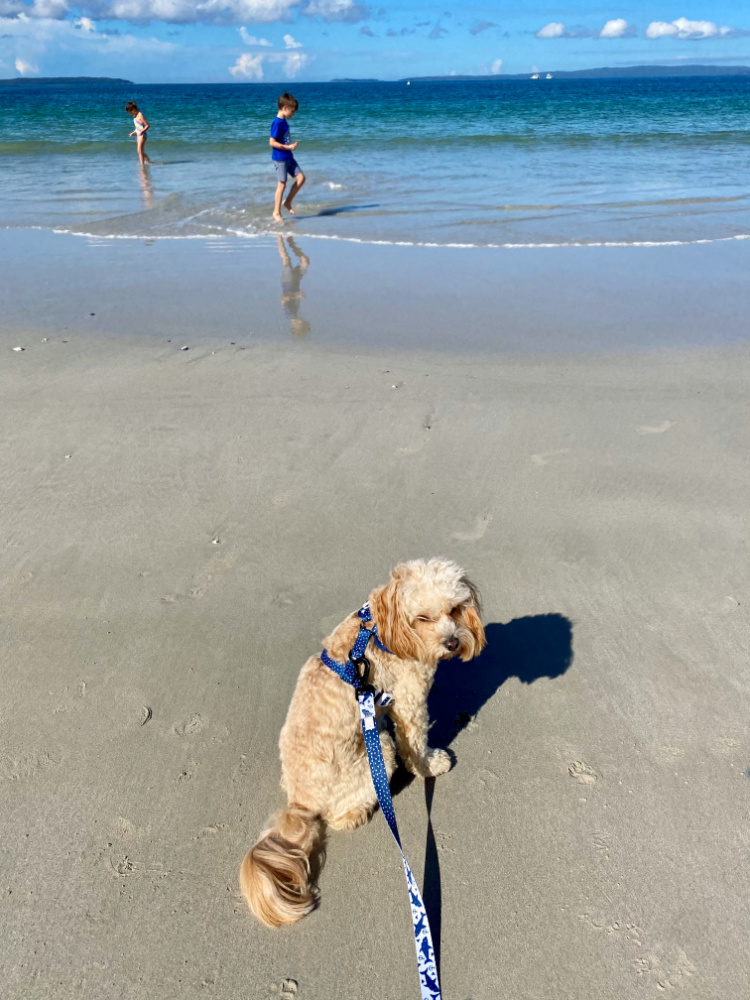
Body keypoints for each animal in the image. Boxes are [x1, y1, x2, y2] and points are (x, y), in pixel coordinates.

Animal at [239, 564, 488, 928]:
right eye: (422, 618)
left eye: (455, 609)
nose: (453, 642)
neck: (381, 628)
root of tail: (300, 802)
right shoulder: (410, 701)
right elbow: (415, 743)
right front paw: (430, 765)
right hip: (380, 752)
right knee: (341, 813)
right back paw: (359, 813)